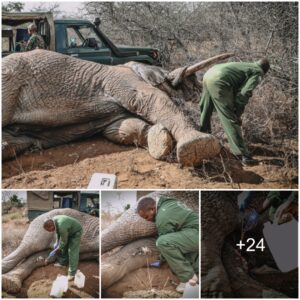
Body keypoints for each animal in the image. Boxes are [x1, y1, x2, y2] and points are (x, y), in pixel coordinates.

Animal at [1, 50, 232, 165]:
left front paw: (159, 139)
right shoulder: (122, 79)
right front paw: (198, 146)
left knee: (17, 142)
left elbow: (121, 129)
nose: (197, 92)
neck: (140, 67)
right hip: (8, 81)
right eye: (189, 82)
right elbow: (151, 99)